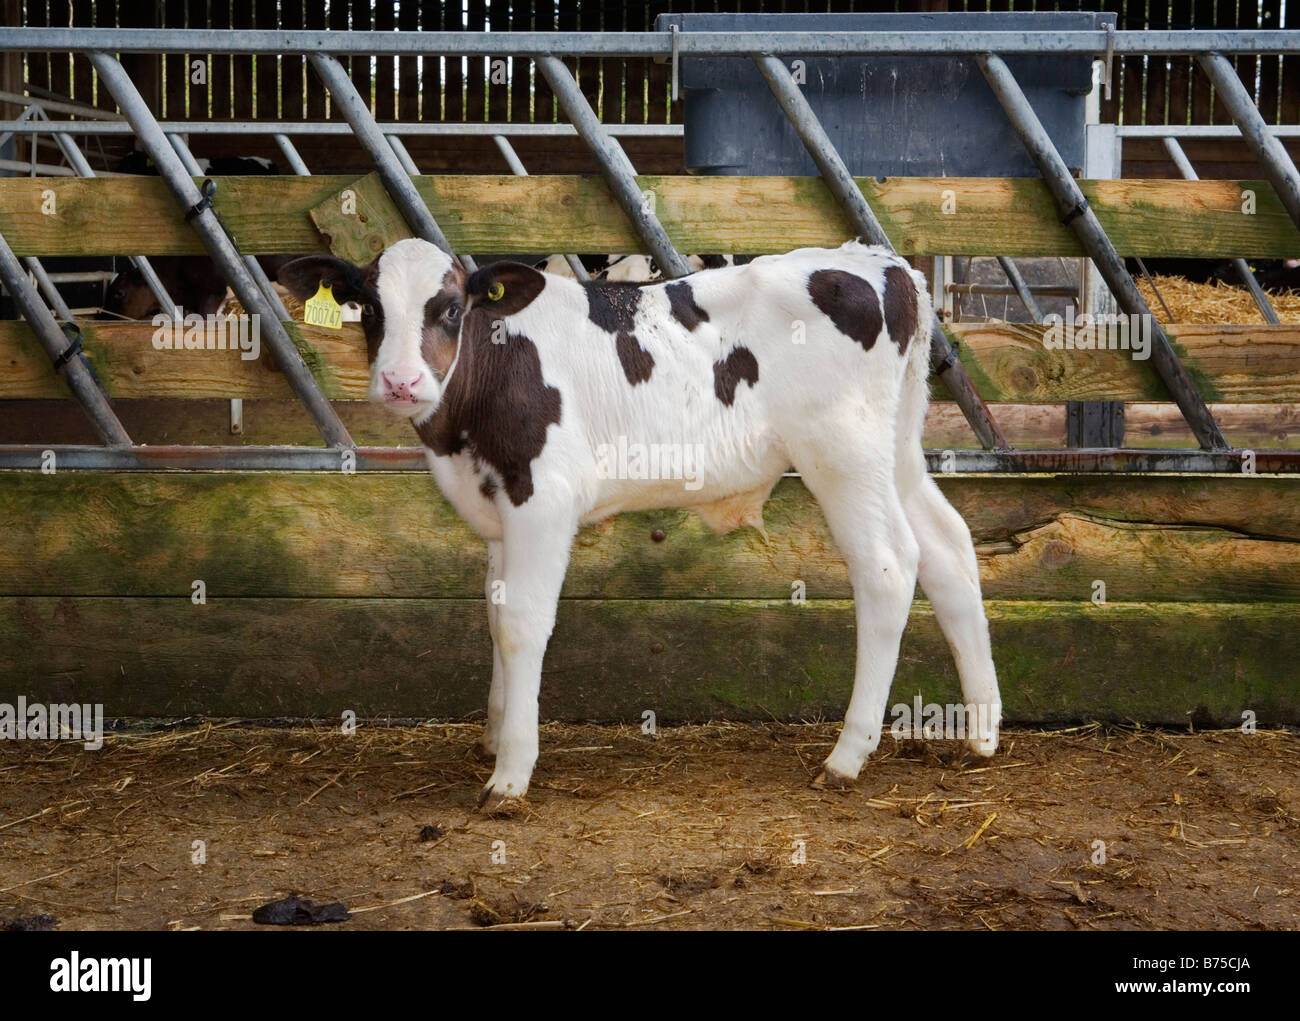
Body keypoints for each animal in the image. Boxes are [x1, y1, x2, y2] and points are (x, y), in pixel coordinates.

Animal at [279, 238, 1001, 813]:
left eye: (451, 308)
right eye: (370, 307)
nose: (401, 382)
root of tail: (879, 260)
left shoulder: (543, 498)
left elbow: (521, 625)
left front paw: (510, 771)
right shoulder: (498, 512)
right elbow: (494, 612)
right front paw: (494, 730)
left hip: (841, 453)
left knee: (887, 568)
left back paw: (847, 756)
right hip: (896, 447)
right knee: (949, 549)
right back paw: (981, 733)